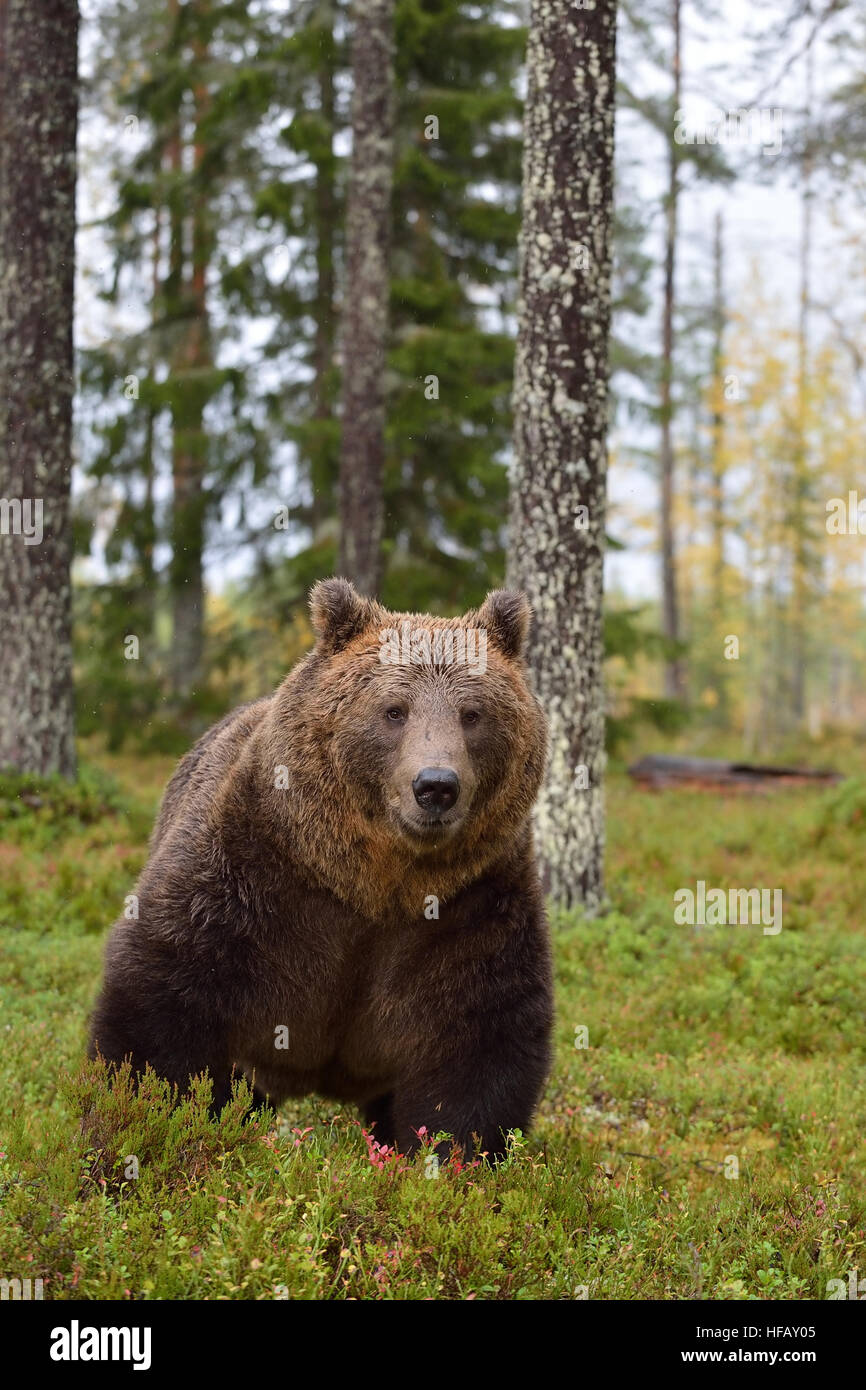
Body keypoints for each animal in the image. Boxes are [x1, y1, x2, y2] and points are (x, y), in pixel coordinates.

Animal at [89, 578, 556, 1162]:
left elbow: (481, 1037)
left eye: (472, 714)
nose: (435, 785)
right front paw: (139, 1125)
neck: (375, 882)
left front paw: (451, 1156)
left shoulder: (472, 904)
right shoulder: (252, 872)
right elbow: (163, 992)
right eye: (394, 710)